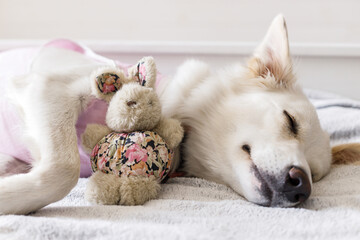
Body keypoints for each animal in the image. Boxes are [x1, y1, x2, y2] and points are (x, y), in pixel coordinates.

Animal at [0, 15, 360, 214]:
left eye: (317, 174)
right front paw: (11, 198)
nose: (302, 187)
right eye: (290, 122)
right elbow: (64, 170)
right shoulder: (51, 86)